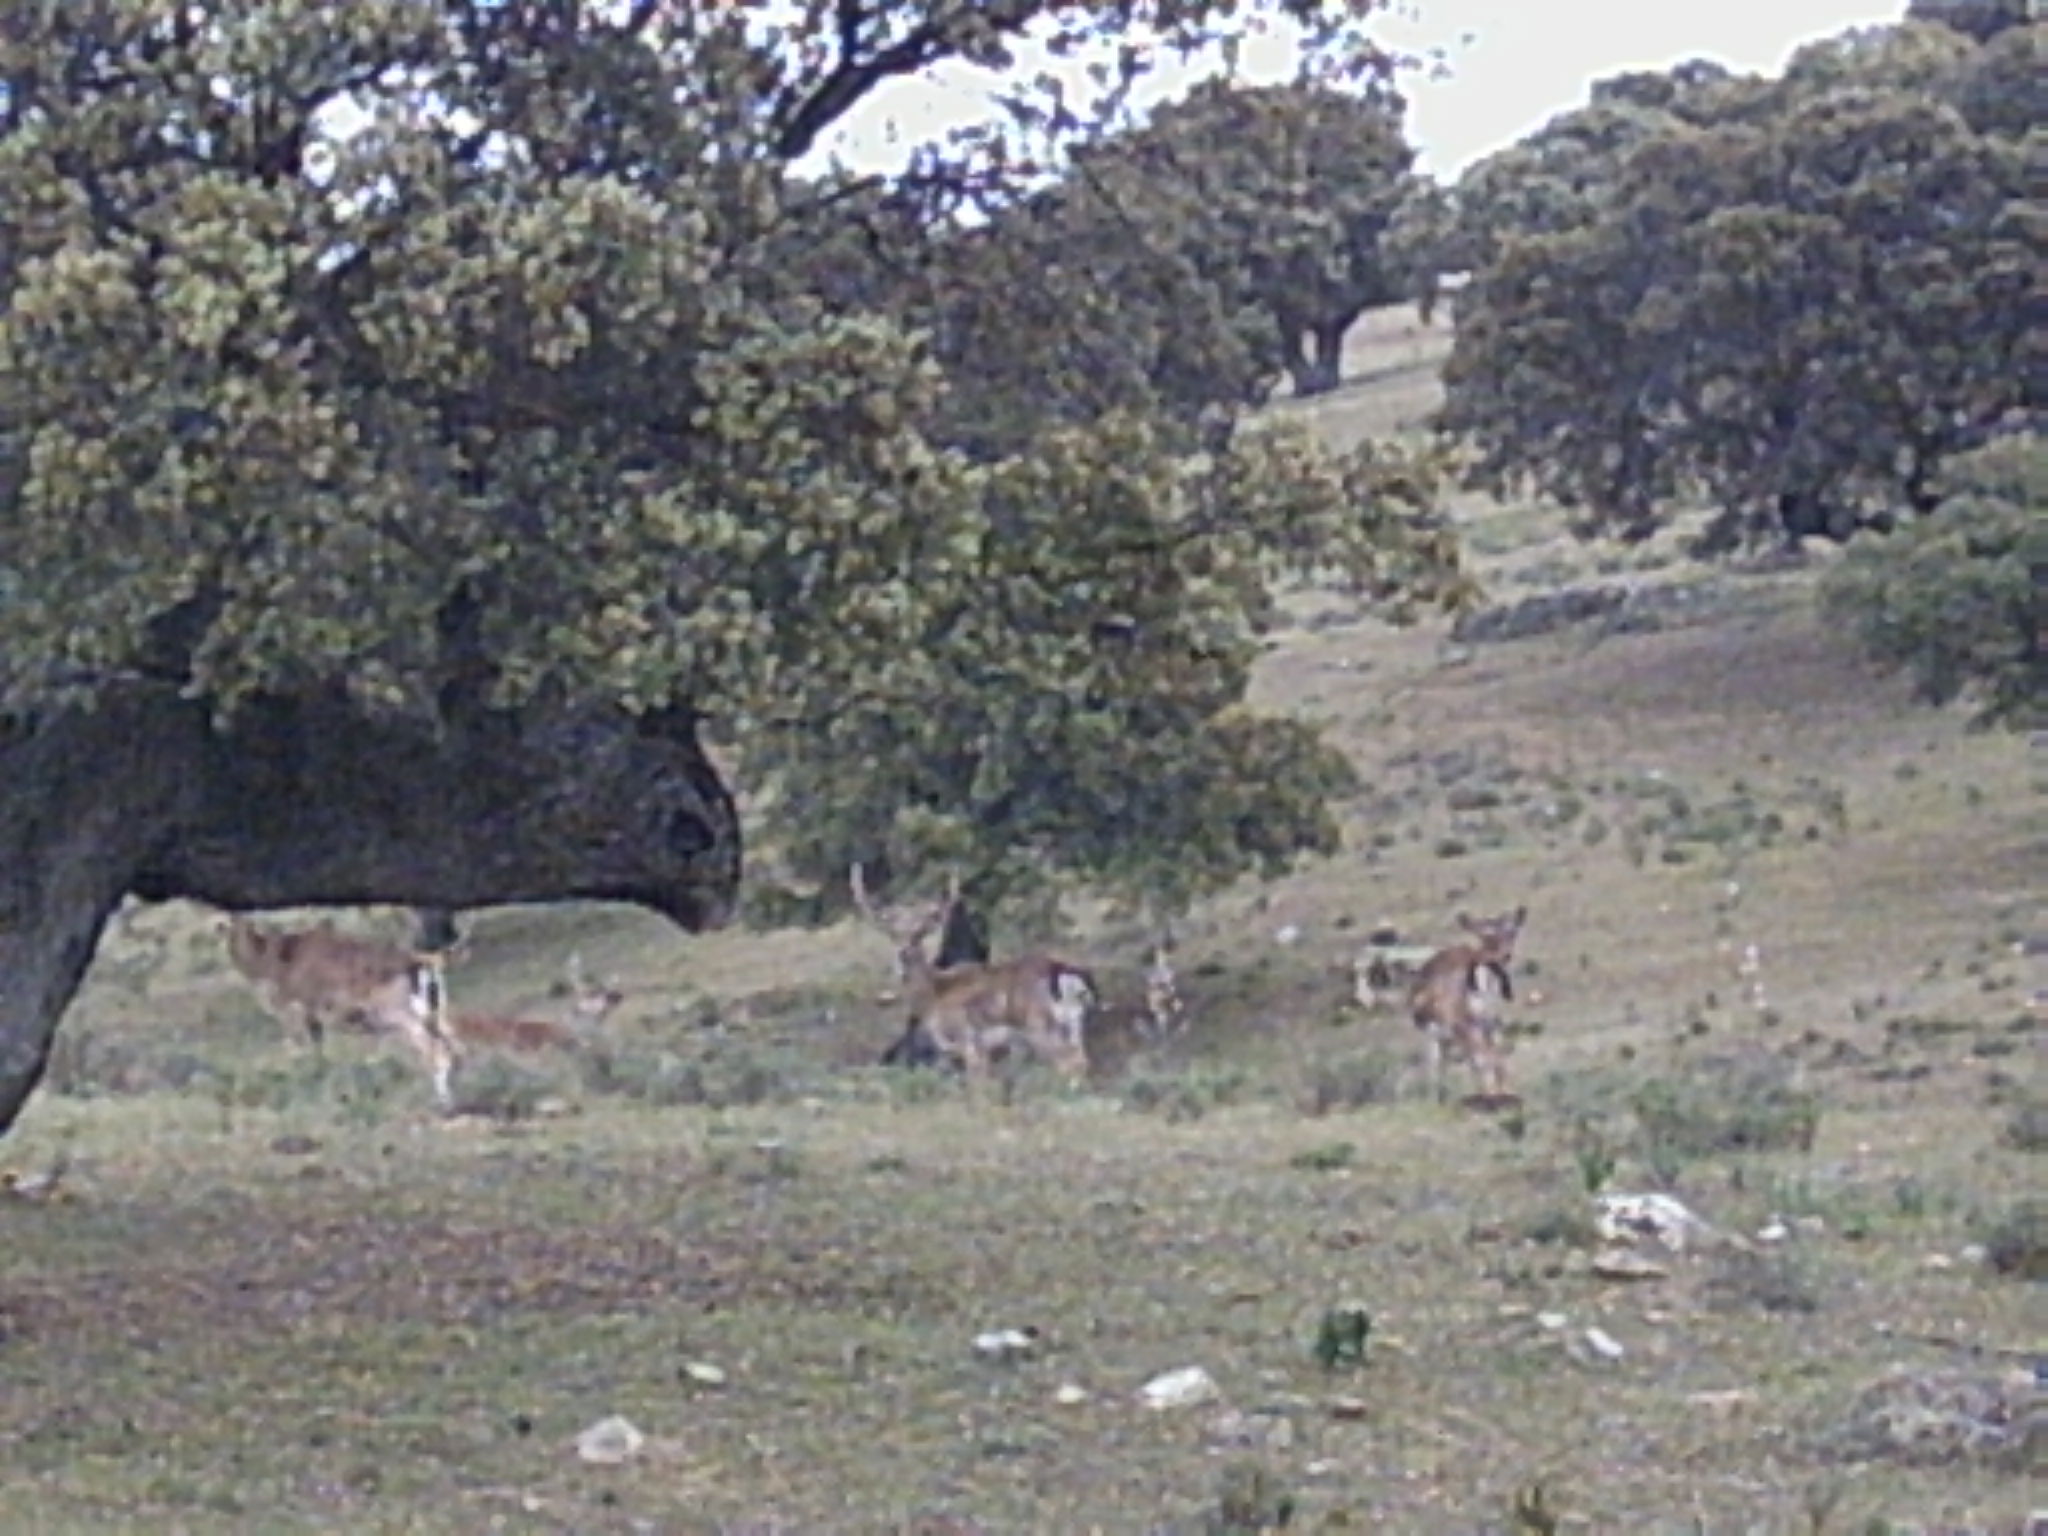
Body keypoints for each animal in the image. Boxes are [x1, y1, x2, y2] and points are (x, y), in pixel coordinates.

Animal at [222, 909, 458, 1114]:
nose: (227, 924)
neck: (271, 964)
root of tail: (426, 966)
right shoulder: (312, 1016)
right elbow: (319, 1049)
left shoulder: (295, 1009)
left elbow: (298, 1050)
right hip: (437, 1014)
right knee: (452, 1047)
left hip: (400, 1016)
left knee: (436, 1051)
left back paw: (442, 1104)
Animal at [851, 868, 1097, 1097]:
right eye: (893, 935)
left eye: (918, 935)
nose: (903, 954)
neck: (935, 994)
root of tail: (1062, 974)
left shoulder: (967, 1040)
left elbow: (977, 1087)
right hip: (1073, 1024)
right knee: (1082, 1060)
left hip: (1039, 1025)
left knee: (1069, 1063)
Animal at [1409, 901, 1523, 1105]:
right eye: (1485, 935)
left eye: (1512, 933)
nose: (1505, 955)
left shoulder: (1445, 1034)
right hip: (1480, 1025)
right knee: (1492, 1057)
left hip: (1463, 1027)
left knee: (1480, 1058)